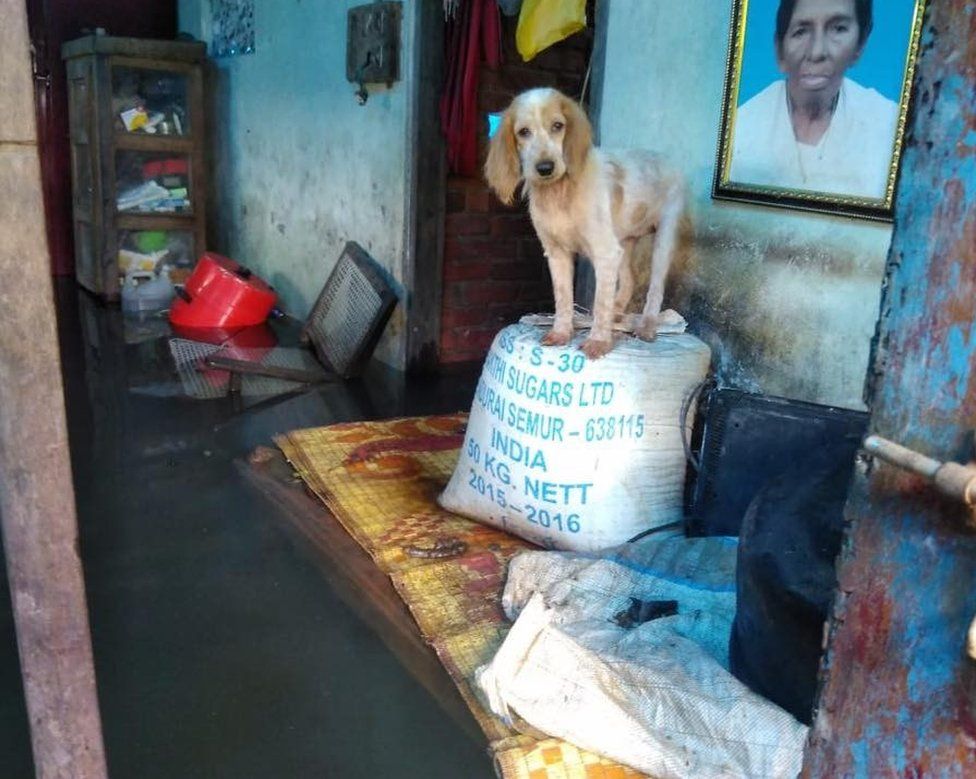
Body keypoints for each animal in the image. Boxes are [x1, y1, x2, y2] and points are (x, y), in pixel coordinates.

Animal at [484, 88, 684, 360]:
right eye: (523, 132)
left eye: (558, 126)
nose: (545, 168)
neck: (559, 193)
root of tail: (665, 159)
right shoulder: (557, 252)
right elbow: (563, 298)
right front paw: (560, 333)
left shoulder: (604, 252)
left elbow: (600, 302)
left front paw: (598, 341)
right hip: (624, 241)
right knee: (629, 280)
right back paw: (617, 314)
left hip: (664, 236)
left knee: (655, 287)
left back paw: (647, 326)